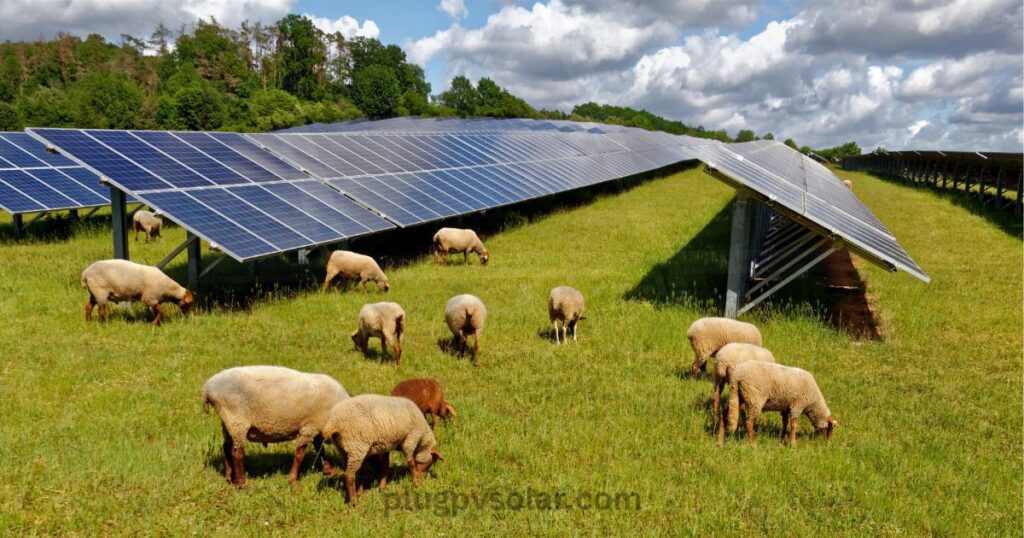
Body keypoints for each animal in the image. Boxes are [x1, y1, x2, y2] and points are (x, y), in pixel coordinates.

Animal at [199, 364, 352, 485]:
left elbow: (320, 450)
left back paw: (229, 478)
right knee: (236, 452)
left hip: (227, 421)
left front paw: (329, 471)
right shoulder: (309, 428)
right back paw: (241, 483)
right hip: (237, 420)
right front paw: (292, 479)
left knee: (226, 447)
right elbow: (300, 455)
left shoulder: (316, 427)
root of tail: (207, 388)